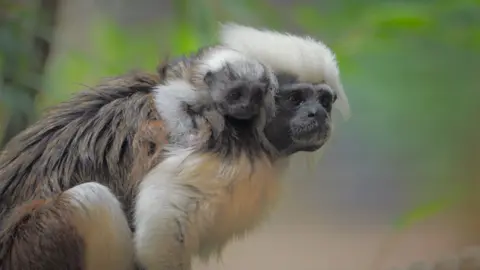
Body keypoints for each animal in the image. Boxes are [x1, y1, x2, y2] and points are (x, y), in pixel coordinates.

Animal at [0, 24, 346, 268]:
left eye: (324, 101)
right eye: (296, 99)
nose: (318, 115)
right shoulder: (217, 158)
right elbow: (161, 227)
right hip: (35, 246)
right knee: (89, 201)